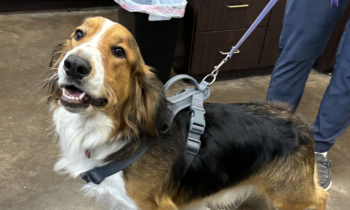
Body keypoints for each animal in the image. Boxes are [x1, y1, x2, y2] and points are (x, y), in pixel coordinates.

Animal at [43, 17, 328, 209]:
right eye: (79, 34)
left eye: (118, 51)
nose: (74, 65)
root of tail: (298, 121)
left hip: (291, 196)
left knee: (321, 197)